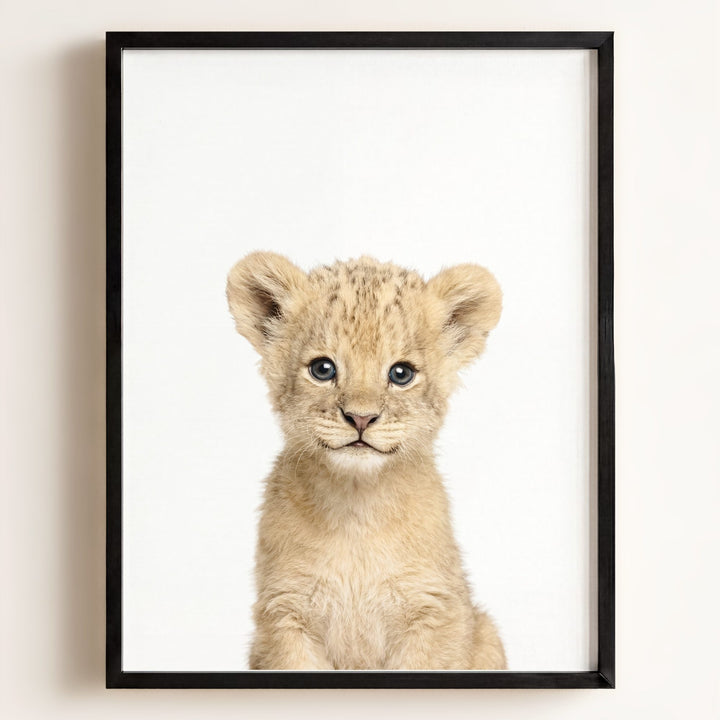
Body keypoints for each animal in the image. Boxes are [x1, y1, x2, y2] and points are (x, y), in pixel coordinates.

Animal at [226, 252, 506, 670]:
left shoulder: (435, 612)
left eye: (401, 373)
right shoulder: (285, 614)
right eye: (323, 369)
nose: (360, 418)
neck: (356, 509)